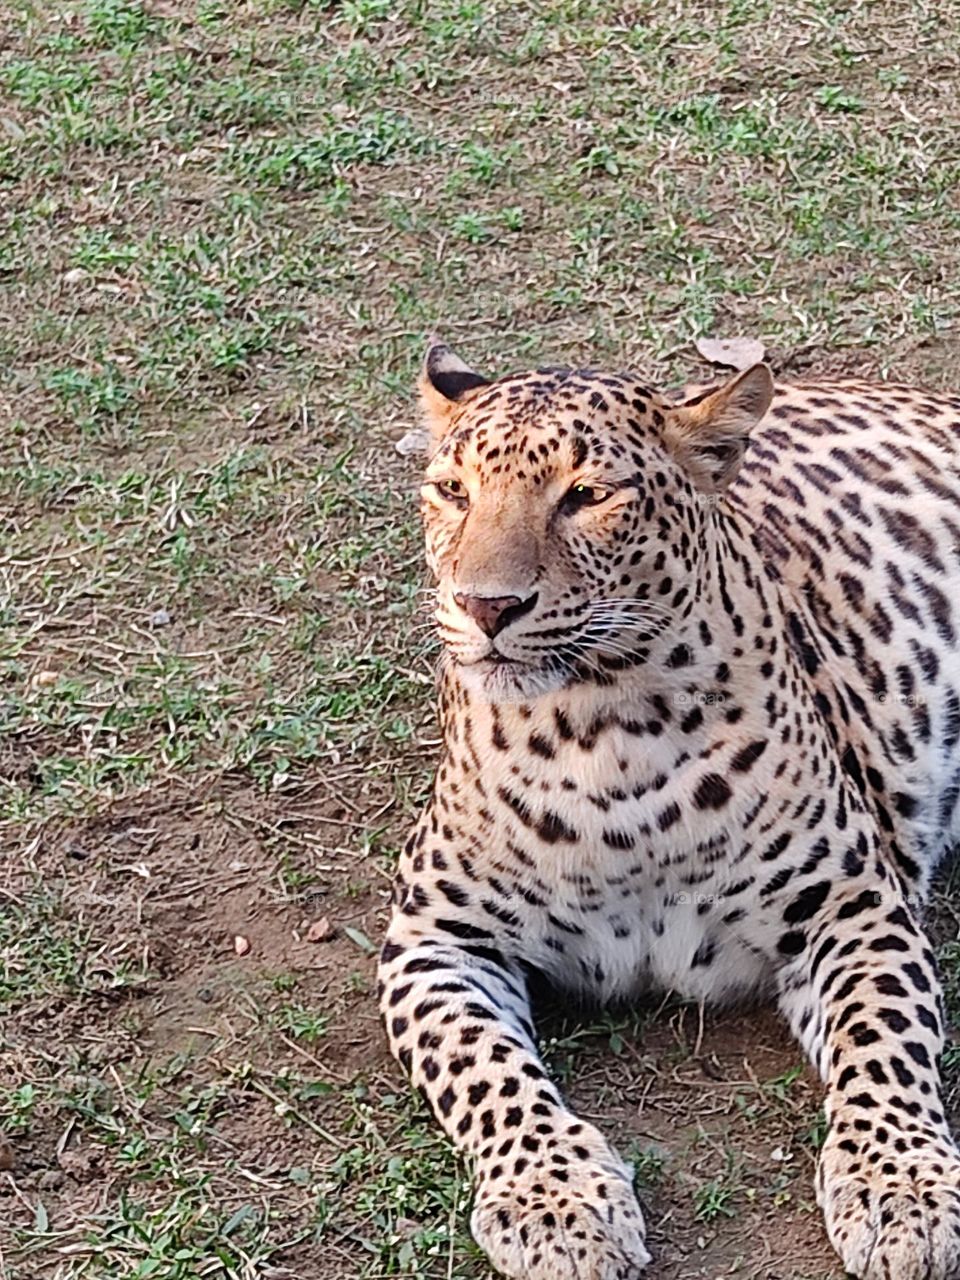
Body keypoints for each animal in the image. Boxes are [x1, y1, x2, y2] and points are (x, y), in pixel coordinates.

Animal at [377, 335, 960, 1280]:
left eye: (586, 496)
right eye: (453, 491)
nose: (484, 605)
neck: (604, 733)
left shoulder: (851, 906)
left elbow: (885, 1040)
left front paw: (900, 1188)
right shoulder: (437, 938)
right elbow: (481, 1069)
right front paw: (556, 1206)